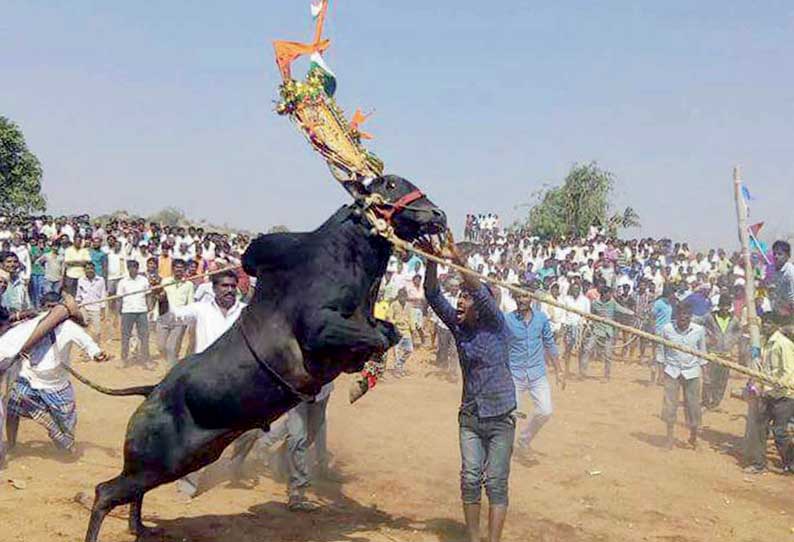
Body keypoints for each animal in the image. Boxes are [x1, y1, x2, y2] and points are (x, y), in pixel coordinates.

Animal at [86, 176, 446, 540]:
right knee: (105, 492)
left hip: (181, 460)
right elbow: (377, 337)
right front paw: (362, 381)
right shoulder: (319, 331)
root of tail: (151, 393)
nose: (438, 215)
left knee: (132, 492)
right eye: (390, 184)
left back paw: (140, 527)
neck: (343, 256)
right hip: (157, 462)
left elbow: (389, 334)